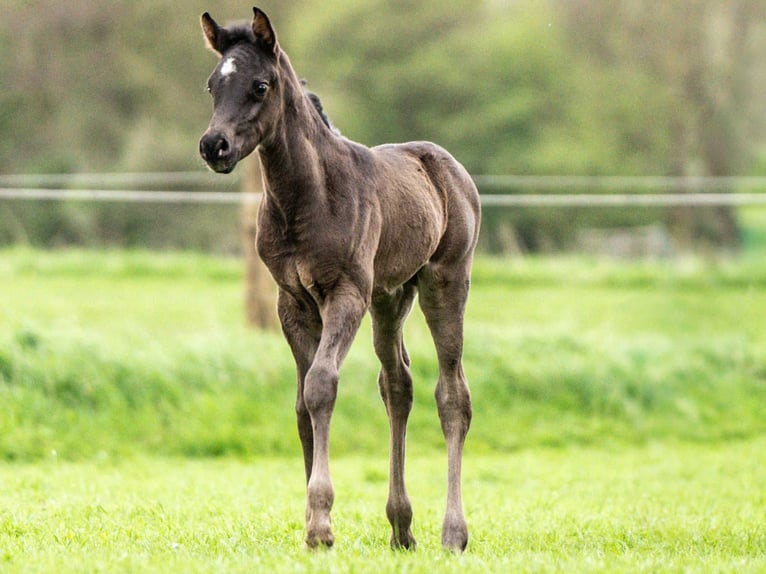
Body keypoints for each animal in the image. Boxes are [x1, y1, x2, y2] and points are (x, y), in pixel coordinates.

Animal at [202, 6, 480, 552]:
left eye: (261, 86)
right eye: (211, 85)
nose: (213, 145)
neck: (308, 197)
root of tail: (452, 169)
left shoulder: (345, 293)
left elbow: (321, 386)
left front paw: (321, 524)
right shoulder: (292, 302)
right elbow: (300, 405)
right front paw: (313, 523)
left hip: (444, 282)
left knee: (452, 394)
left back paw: (452, 533)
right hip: (391, 296)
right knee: (397, 386)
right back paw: (401, 528)